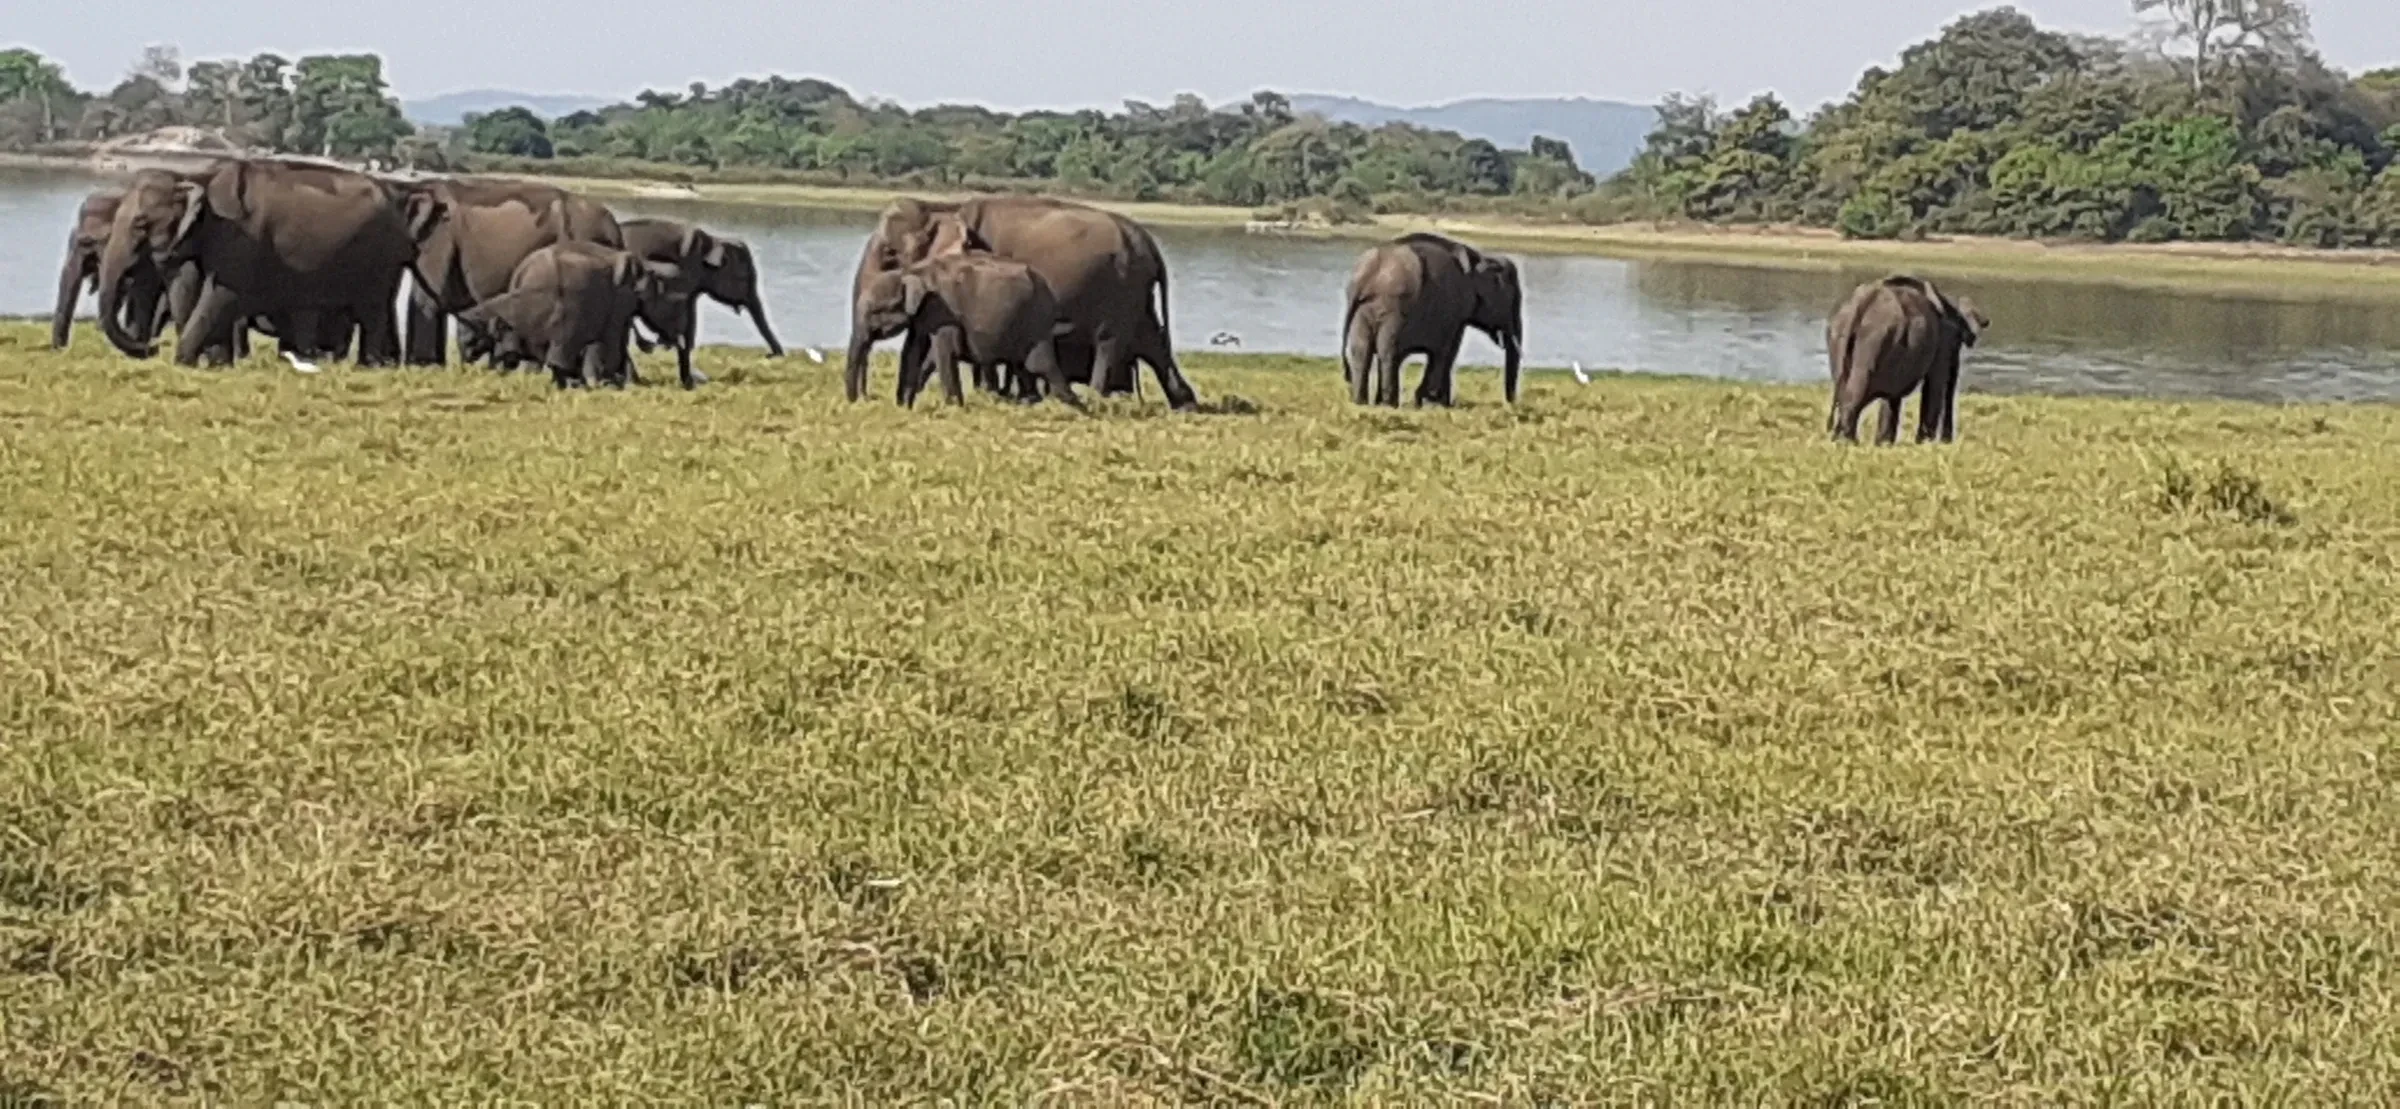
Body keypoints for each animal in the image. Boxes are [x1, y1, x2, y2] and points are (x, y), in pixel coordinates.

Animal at [96, 160, 432, 367]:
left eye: (140, 223)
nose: (152, 347)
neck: (197, 176)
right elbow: (184, 287)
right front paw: (216, 364)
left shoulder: (241, 239)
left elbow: (221, 294)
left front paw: (185, 362)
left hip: (379, 257)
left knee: (372, 309)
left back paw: (368, 366)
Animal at [619, 218, 782, 388]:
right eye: (742, 278)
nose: (770, 355)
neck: (712, 241)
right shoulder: (683, 273)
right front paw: (689, 381)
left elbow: (690, 320)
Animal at [853, 254, 1083, 409]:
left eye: (875, 311)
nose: (859, 400)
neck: (912, 271)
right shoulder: (923, 315)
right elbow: (913, 350)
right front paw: (905, 407)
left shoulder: (943, 310)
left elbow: (944, 352)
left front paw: (954, 408)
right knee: (1025, 367)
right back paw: (1033, 402)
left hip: (1035, 322)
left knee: (1040, 364)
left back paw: (1075, 408)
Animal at [1341, 233, 1524, 407]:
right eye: (1513, 299)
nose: (1510, 403)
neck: (1480, 258)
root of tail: (1366, 276)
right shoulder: (1455, 309)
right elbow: (1449, 349)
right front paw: (1435, 403)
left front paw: (1431, 401)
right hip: (1393, 308)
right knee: (1388, 352)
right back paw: (1388, 405)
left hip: (1364, 310)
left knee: (1361, 351)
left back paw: (1362, 402)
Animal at [1825, 275, 1988, 444]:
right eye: (1957, 342)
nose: (1946, 440)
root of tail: (1863, 302)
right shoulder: (1942, 340)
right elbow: (1935, 382)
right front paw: (1923, 444)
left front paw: (1884, 443)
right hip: (1873, 341)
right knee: (1857, 390)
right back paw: (1849, 441)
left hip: (1841, 336)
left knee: (1845, 388)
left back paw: (1840, 439)